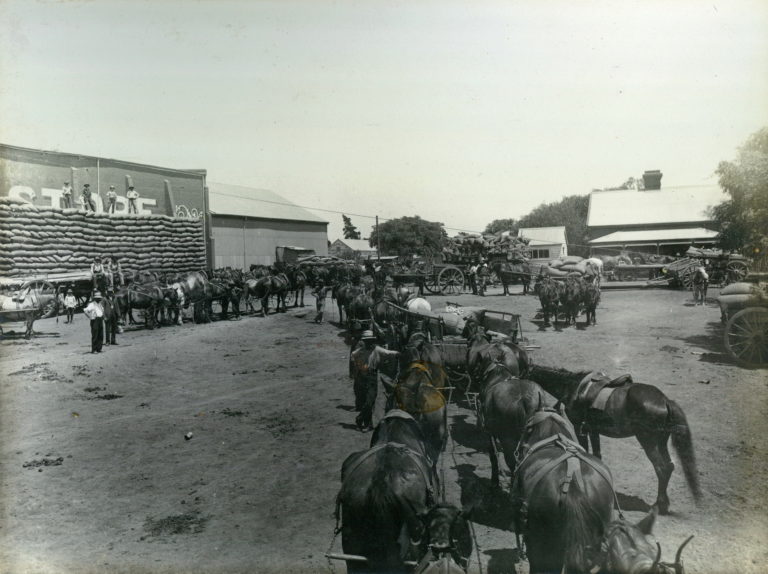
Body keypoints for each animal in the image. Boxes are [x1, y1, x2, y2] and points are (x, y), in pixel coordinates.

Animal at [528, 366, 704, 516]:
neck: (573, 387)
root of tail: (665, 400)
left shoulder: (580, 429)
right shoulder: (593, 430)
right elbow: (597, 455)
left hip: (648, 441)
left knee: (662, 468)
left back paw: (658, 505)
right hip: (661, 442)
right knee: (669, 466)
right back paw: (664, 505)